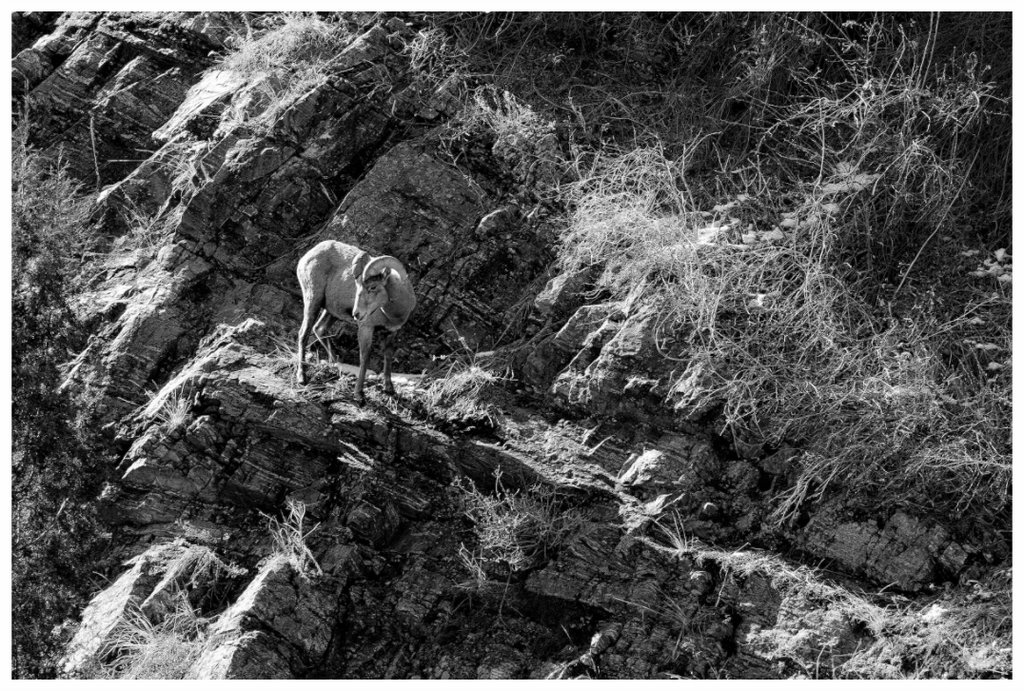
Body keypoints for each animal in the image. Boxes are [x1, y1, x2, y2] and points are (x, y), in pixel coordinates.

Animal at [295, 240, 416, 403]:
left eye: (373, 287)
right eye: (357, 286)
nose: (356, 314)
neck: (394, 313)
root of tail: (307, 256)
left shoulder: (392, 332)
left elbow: (388, 356)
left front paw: (389, 389)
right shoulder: (366, 328)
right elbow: (364, 358)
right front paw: (359, 394)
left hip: (332, 312)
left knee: (319, 329)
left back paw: (337, 364)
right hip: (313, 301)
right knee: (304, 334)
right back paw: (302, 377)